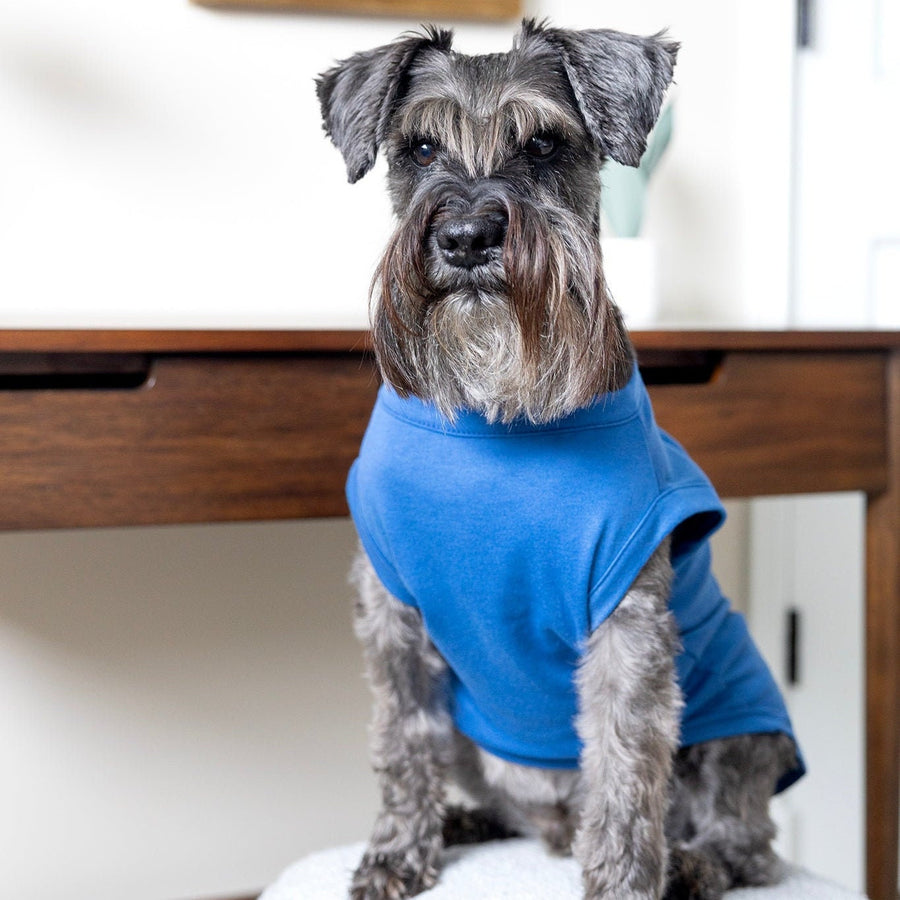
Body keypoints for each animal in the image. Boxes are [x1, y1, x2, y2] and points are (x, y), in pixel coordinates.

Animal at [314, 21, 800, 900]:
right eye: (421, 149)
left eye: (542, 143)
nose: (466, 238)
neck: (495, 413)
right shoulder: (391, 611)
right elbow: (402, 742)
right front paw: (398, 851)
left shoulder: (626, 623)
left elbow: (624, 771)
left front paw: (624, 884)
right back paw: (467, 821)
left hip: (742, 725)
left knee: (748, 838)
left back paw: (693, 865)